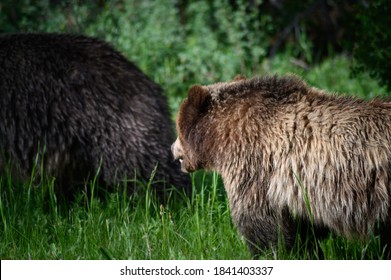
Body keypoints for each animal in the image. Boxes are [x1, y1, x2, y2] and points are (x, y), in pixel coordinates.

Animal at [173, 75, 391, 258]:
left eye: (178, 127)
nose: (172, 149)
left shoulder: (256, 167)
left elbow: (260, 225)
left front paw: (266, 252)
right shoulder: (298, 194)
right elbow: (302, 233)